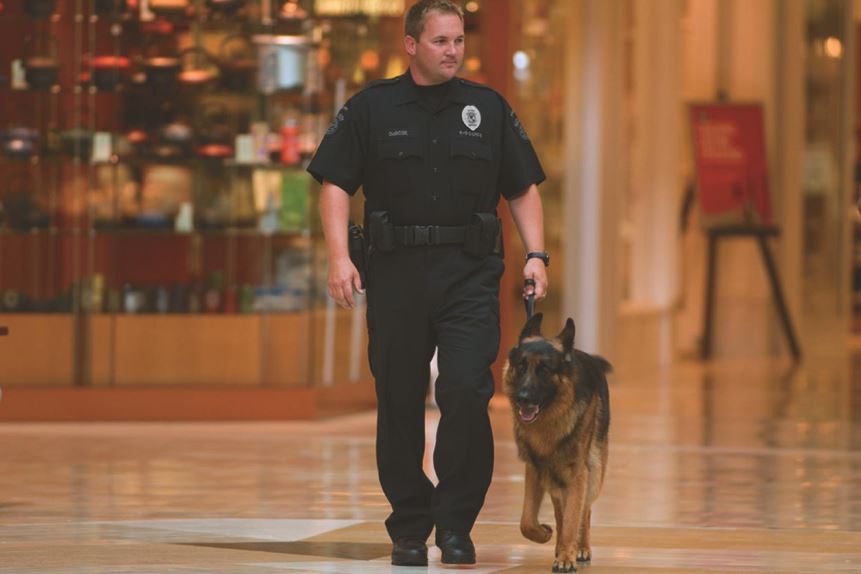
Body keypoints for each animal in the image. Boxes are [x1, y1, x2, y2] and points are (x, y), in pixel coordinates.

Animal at [500, 312, 608, 572]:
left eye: (545, 369)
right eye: (521, 366)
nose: (522, 398)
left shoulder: (578, 474)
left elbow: (572, 518)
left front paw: (567, 557)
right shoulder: (535, 470)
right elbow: (527, 520)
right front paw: (545, 534)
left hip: (594, 473)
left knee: (584, 511)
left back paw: (580, 547)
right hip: (554, 480)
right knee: (562, 511)